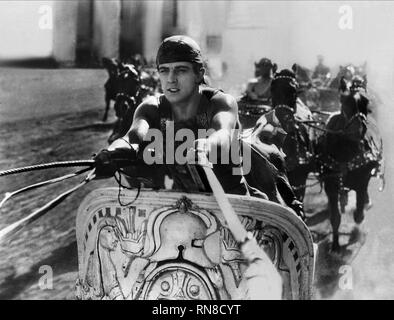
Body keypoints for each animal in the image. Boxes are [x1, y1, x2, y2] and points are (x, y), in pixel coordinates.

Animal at [316, 89, 384, 251]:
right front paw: (335, 245)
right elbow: (335, 217)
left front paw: (358, 218)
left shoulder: (362, 179)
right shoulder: (331, 185)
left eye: (366, 104)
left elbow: (359, 210)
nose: (359, 130)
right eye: (345, 103)